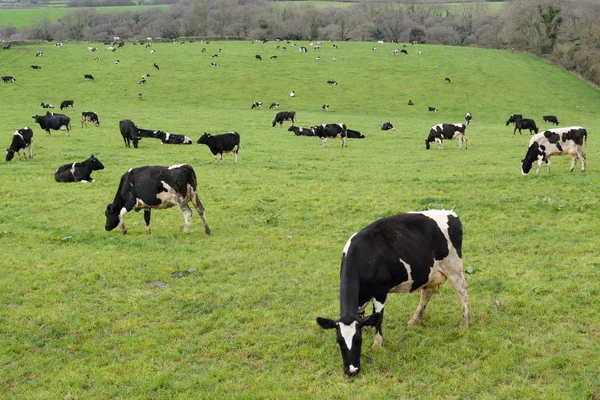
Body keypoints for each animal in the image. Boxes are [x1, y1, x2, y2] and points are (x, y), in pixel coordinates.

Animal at [316, 209, 472, 376]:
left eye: (358, 340)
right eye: (339, 341)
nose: (351, 370)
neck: (363, 256)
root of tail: (450, 213)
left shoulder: (380, 292)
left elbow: (378, 318)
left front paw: (377, 344)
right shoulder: (362, 296)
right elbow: (362, 315)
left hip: (453, 266)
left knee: (462, 290)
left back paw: (465, 323)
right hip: (429, 272)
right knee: (427, 293)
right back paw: (414, 320)